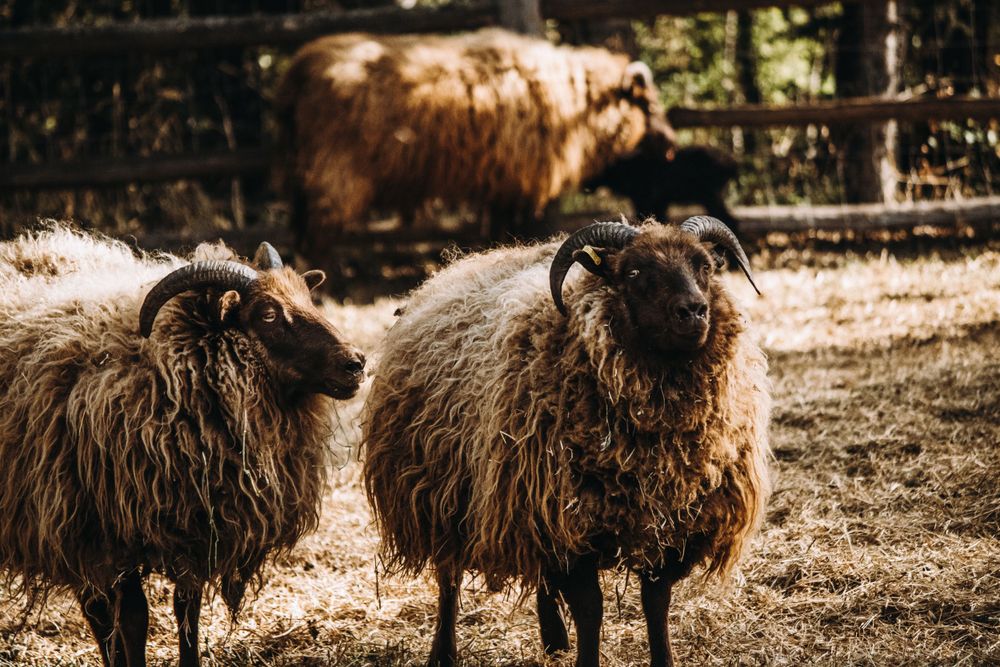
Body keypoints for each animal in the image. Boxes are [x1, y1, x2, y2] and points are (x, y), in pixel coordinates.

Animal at [0, 226, 366, 667]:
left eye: (308, 299)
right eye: (267, 314)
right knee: (100, 613)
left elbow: (186, 610)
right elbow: (134, 619)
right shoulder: (110, 531)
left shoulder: (195, 529)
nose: (356, 363)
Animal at [274, 27, 676, 253]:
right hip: (333, 173)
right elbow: (508, 231)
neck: (577, 101)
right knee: (315, 236)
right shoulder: (513, 182)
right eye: (649, 104)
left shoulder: (501, 182)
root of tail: (299, 68)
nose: (672, 146)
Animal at [362, 216, 770, 667]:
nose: (694, 311)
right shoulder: (566, 525)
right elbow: (591, 609)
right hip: (445, 497)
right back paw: (443, 653)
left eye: (705, 267)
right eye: (633, 272)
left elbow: (656, 602)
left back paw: (554, 639)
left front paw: (662, 659)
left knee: (540, 579)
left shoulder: (667, 526)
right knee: (448, 578)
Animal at [586, 144, 743, 237]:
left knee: (730, 222)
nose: (586, 184)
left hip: (712, 197)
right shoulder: (660, 202)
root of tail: (733, 163)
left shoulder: (644, 200)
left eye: (597, 168)